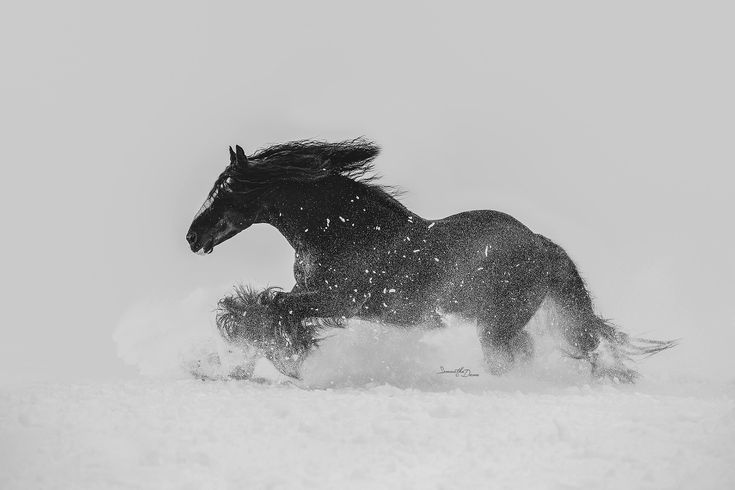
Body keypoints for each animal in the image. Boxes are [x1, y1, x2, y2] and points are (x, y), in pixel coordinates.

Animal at [186, 139, 676, 382]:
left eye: (227, 190)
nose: (192, 237)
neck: (345, 230)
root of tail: (540, 244)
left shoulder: (335, 299)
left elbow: (266, 308)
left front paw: (278, 361)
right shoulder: (315, 294)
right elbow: (261, 306)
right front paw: (230, 364)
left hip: (497, 324)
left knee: (514, 356)